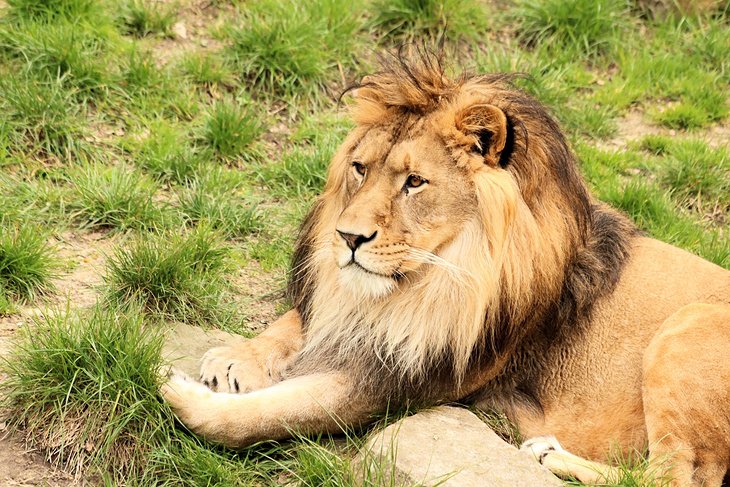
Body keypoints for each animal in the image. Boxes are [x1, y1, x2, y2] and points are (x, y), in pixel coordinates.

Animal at [161, 53, 728, 487]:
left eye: (415, 182)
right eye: (360, 168)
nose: (346, 237)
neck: (436, 278)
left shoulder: (402, 380)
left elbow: (276, 412)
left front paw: (179, 392)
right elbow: (305, 318)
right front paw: (236, 358)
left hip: (688, 327)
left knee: (672, 477)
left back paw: (548, 453)